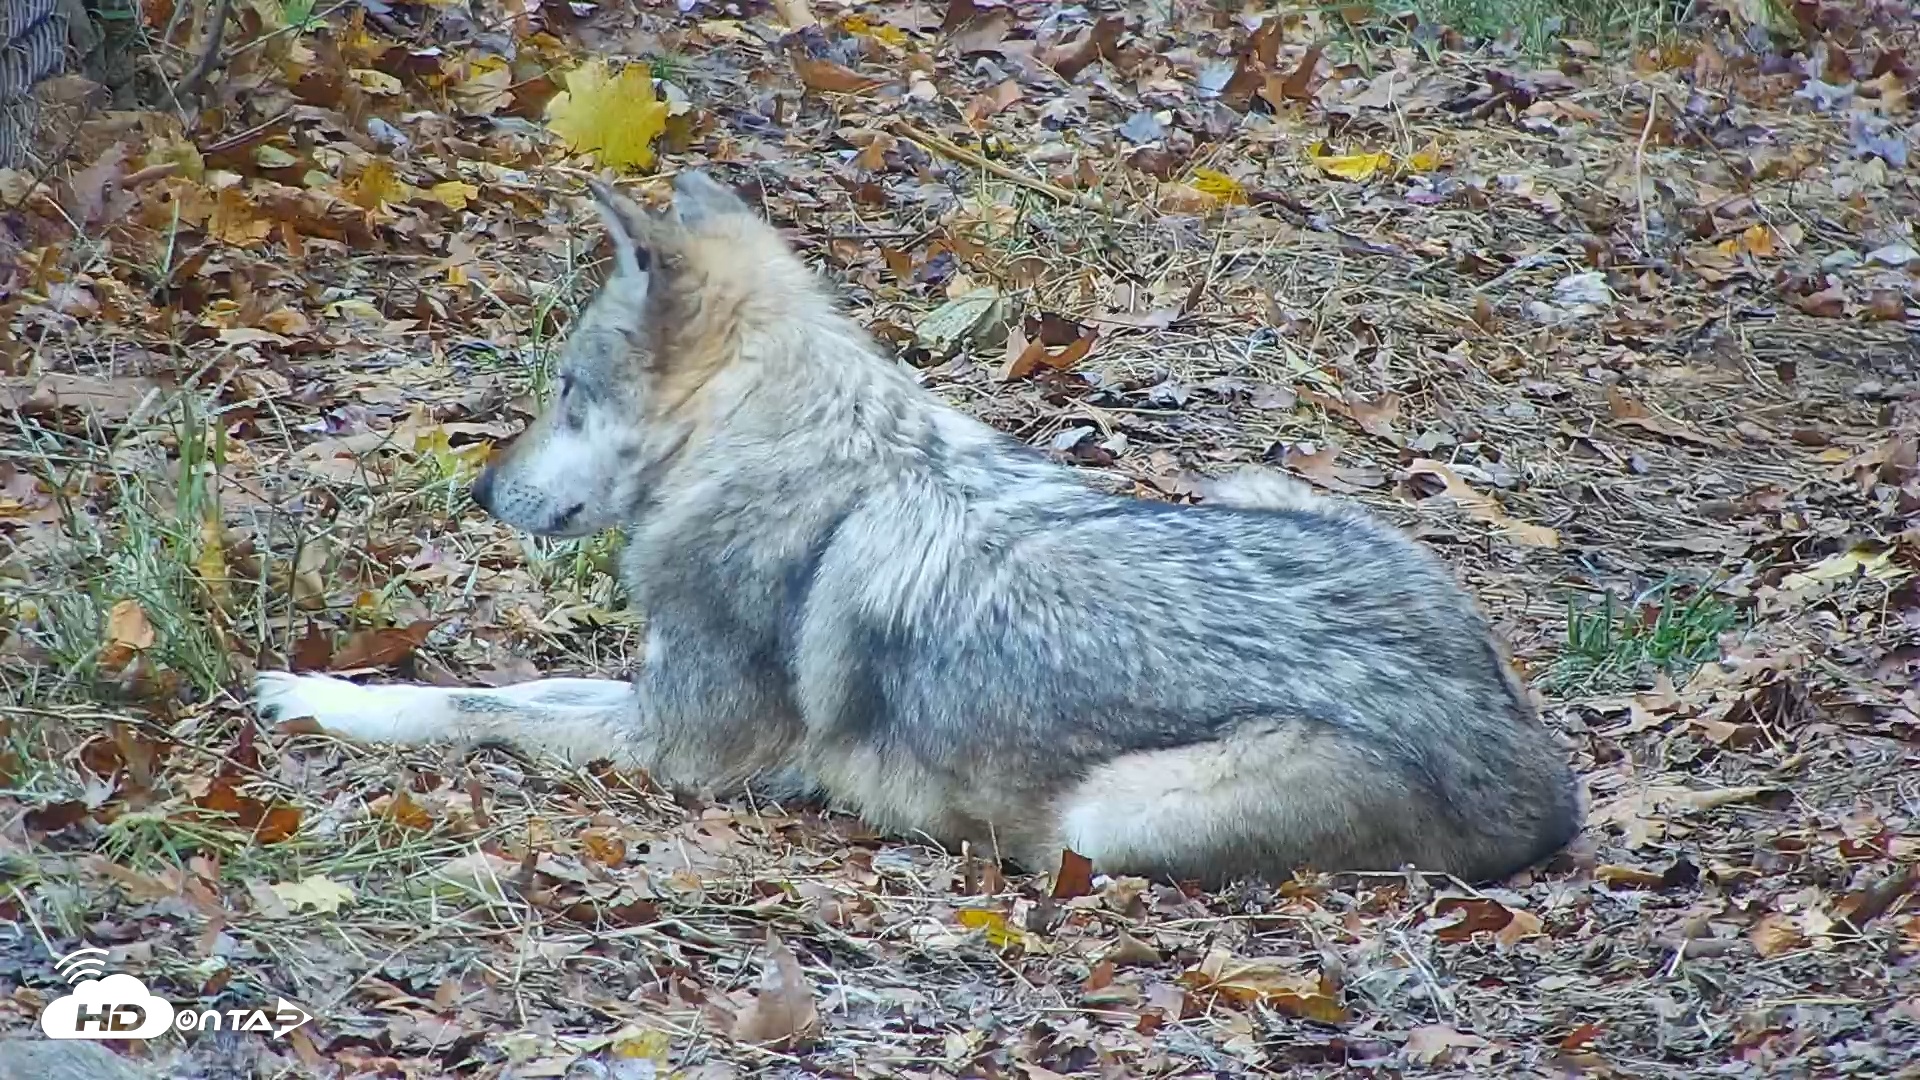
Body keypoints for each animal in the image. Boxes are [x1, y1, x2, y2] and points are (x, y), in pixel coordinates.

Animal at [256, 170, 1582, 885]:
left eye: (570, 393)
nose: (482, 492)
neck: (784, 456)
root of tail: (1543, 774)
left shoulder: (676, 745)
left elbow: (474, 703)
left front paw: (314, 700)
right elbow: (503, 682)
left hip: (1111, 817)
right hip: (1251, 483)